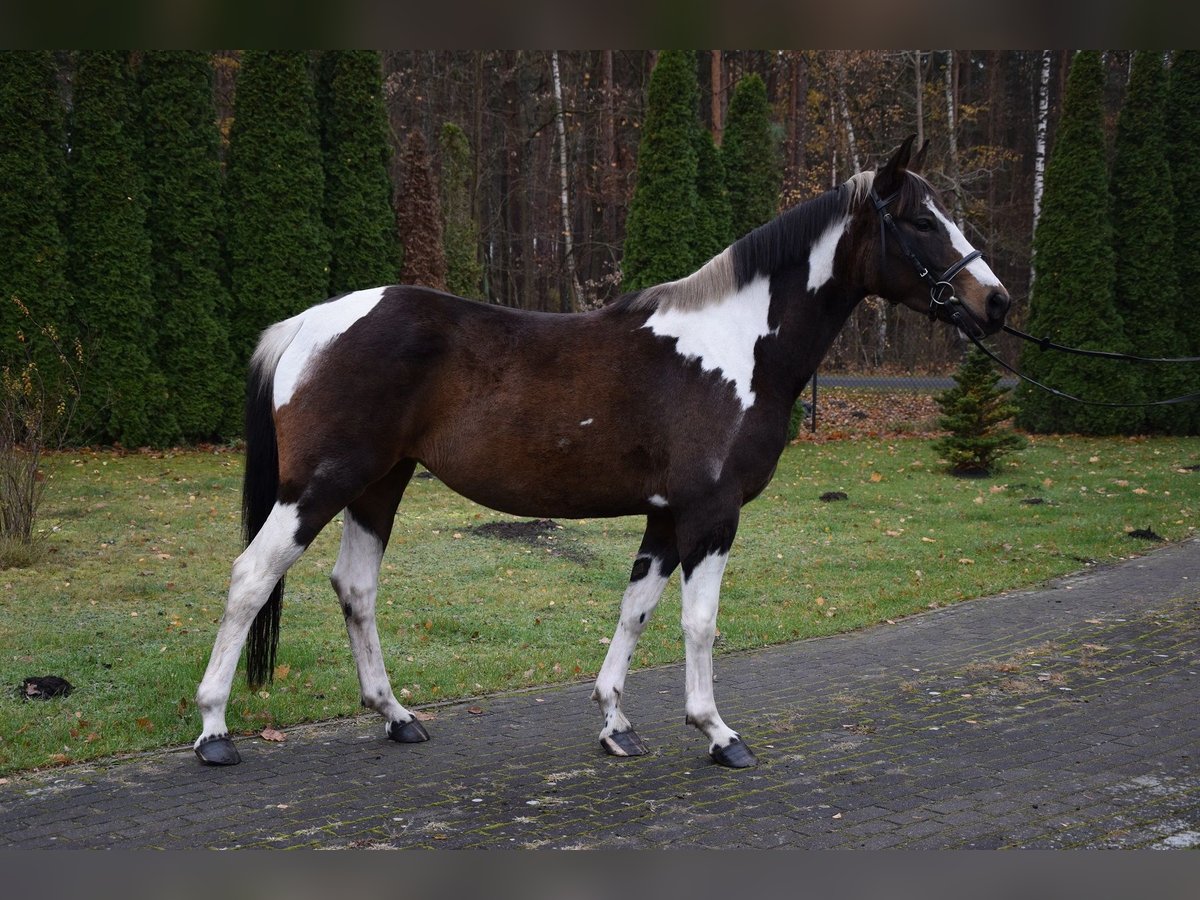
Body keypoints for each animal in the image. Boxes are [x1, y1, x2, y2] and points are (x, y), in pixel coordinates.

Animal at [194, 135, 1010, 769]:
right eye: (920, 220)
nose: (995, 303)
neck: (734, 349)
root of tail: (310, 322)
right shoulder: (710, 514)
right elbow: (699, 624)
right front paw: (718, 733)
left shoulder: (665, 517)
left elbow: (636, 611)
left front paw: (616, 724)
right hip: (318, 487)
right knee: (251, 578)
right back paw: (213, 730)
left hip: (379, 484)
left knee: (355, 589)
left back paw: (397, 718)